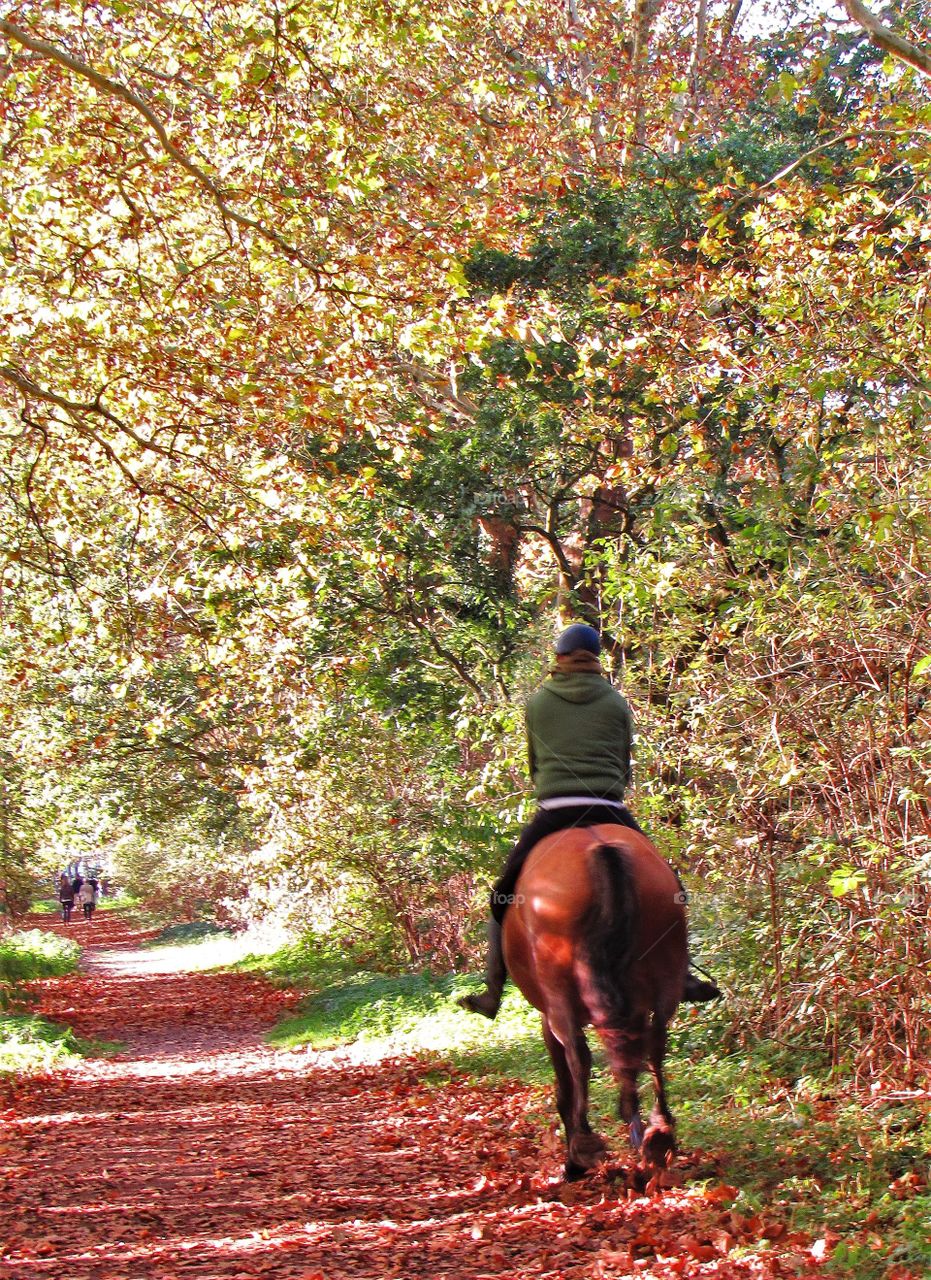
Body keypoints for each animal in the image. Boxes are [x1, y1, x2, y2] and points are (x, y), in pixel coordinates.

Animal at [501, 829, 691, 1177]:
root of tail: (601, 847)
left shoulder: (547, 1016)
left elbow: (565, 1085)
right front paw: (632, 1119)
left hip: (558, 992)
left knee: (579, 1055)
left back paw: (584, 1147)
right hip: (666, 971)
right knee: (655, 1043)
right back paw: (658, 1134)